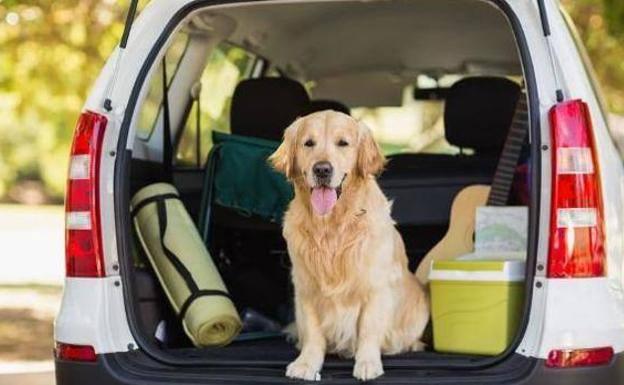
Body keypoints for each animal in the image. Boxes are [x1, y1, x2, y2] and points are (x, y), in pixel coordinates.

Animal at [268, 109, 428, 380]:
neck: (332, 226)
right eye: (308, 143)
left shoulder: (375, 287)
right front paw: (306, 363)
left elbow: (369, 329)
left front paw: (367, 363)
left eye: (343, 143)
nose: (322, 169)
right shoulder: (306, 287)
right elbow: (312, 332)